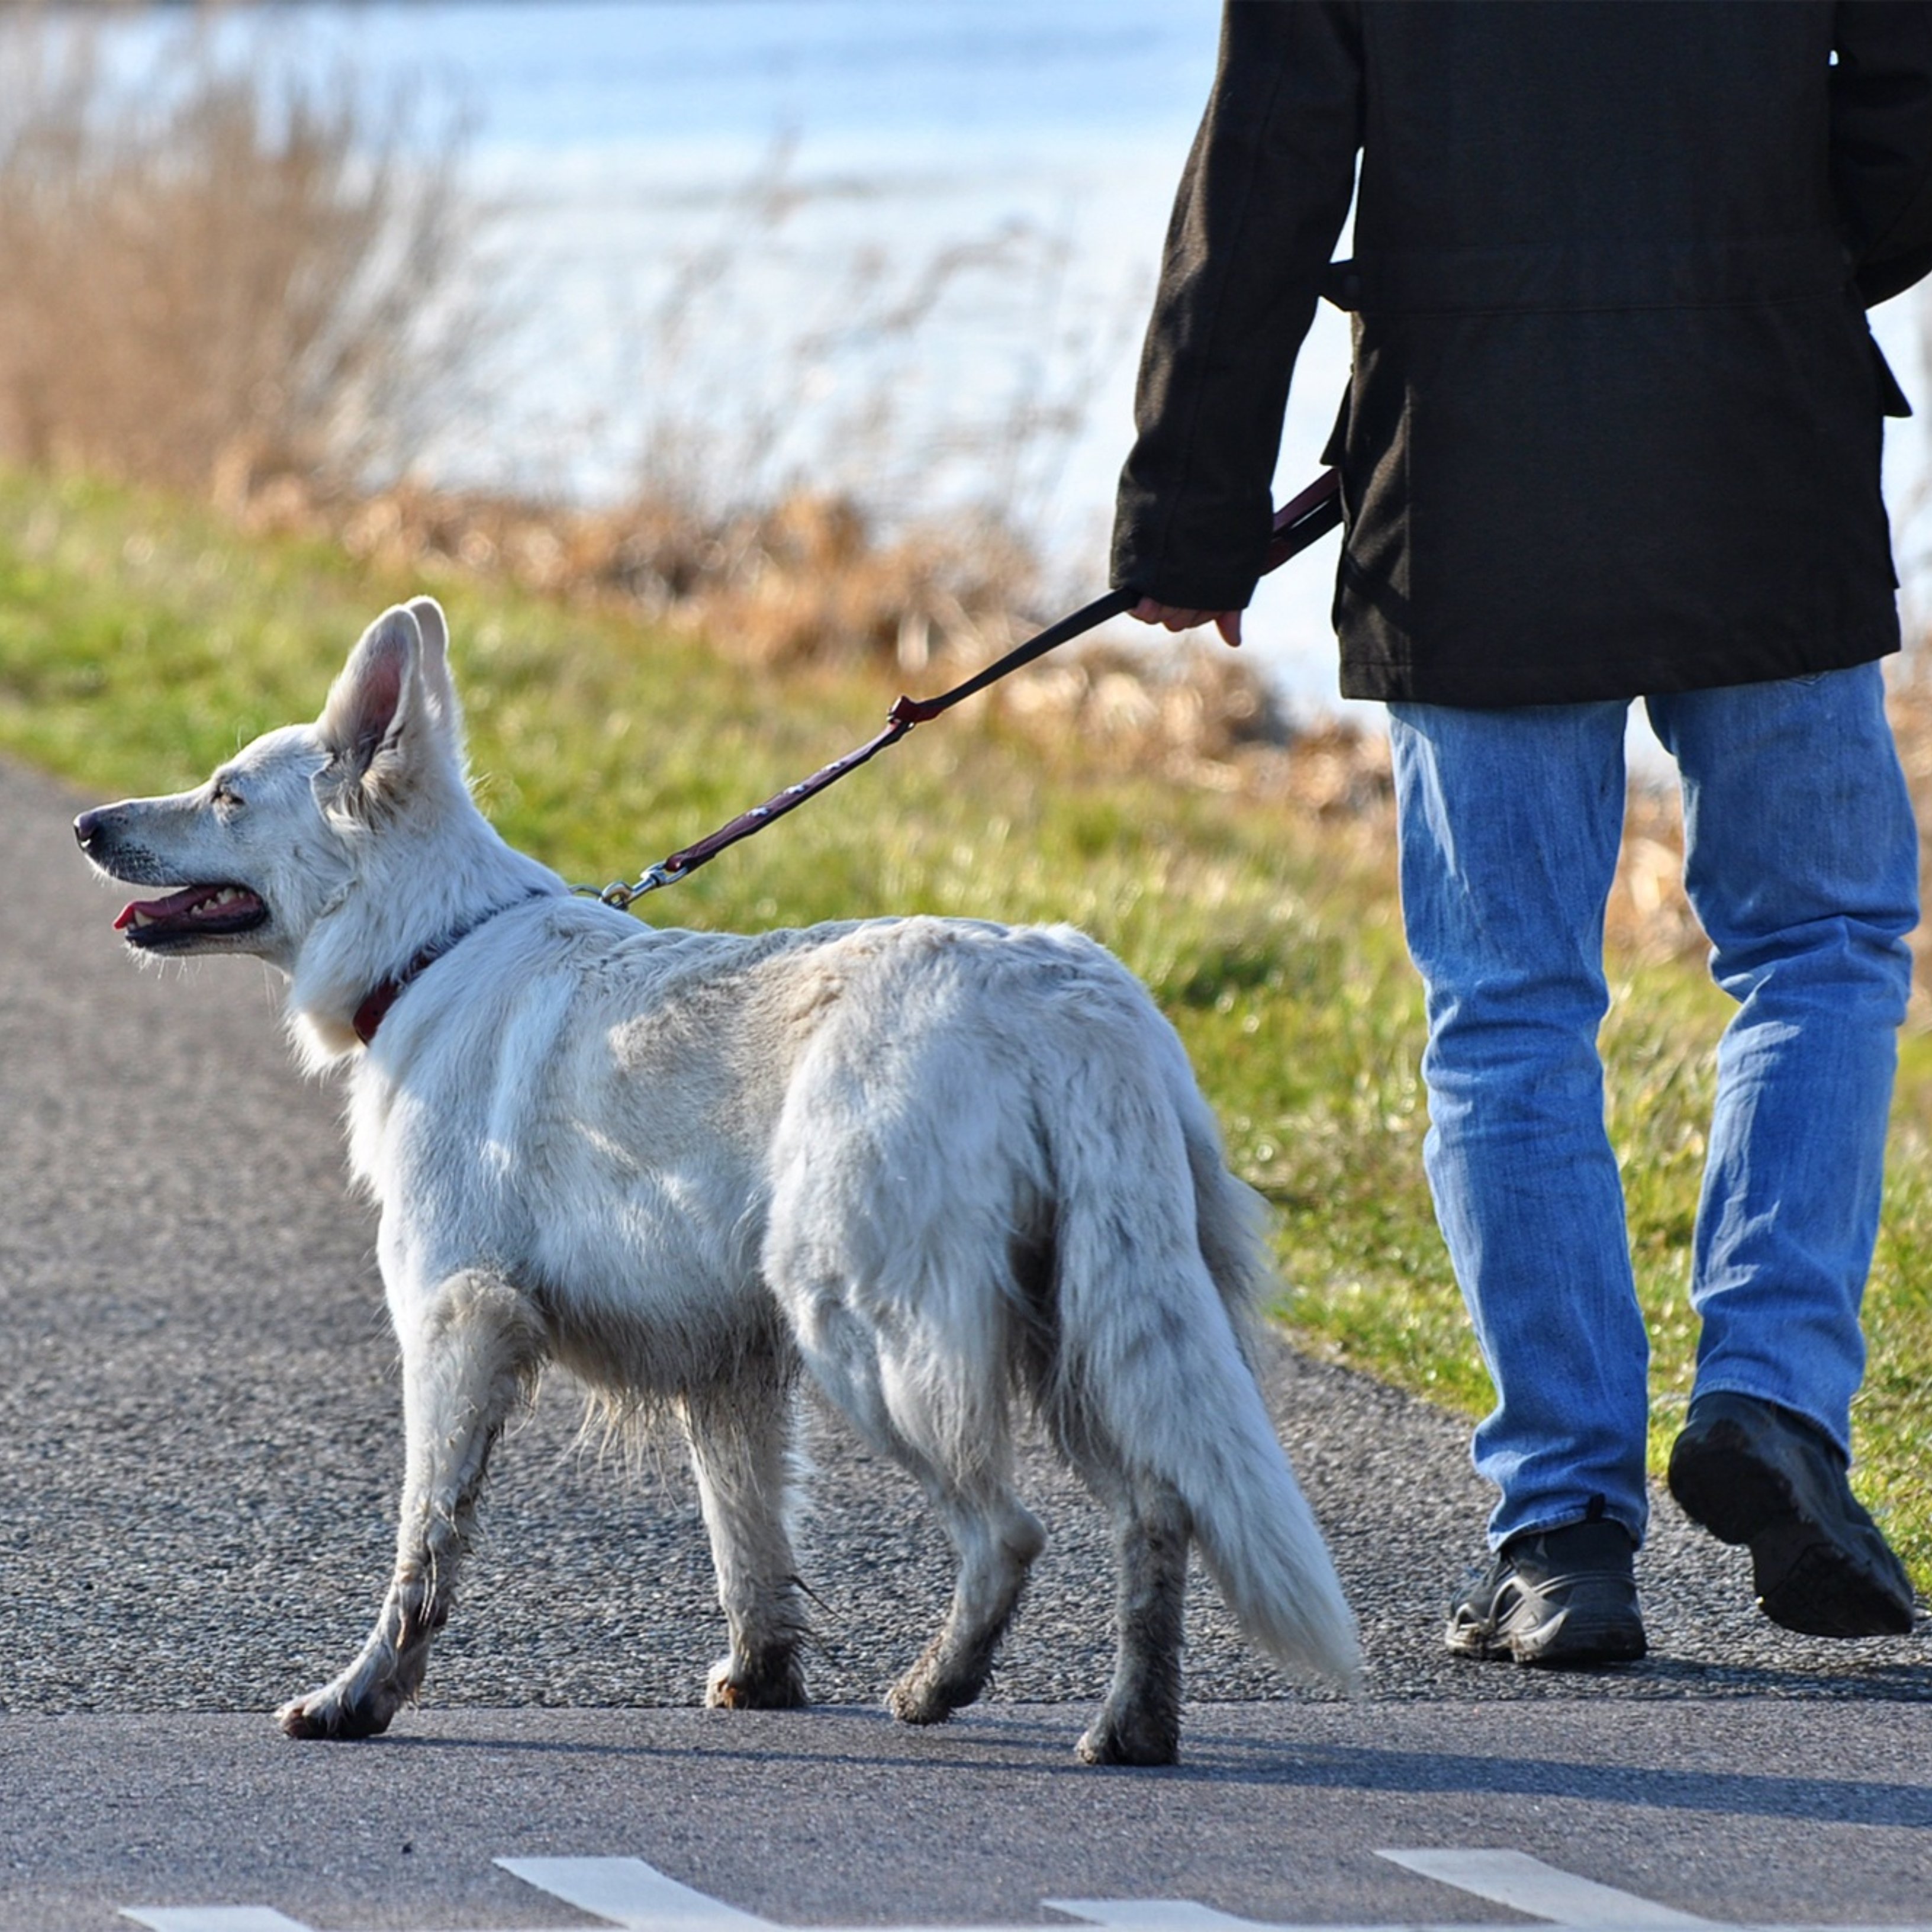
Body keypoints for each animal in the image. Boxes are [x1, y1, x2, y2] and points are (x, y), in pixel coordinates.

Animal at [79, 595, 1360, 1762]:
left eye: (225, 794)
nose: (89, 823)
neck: (430, 945)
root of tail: (1069, 998)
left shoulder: (456, 1324)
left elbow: (424, 1545)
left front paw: (361, 1698)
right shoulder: (727, 1370)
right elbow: (750, 1543)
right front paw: (764, 1677)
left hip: (870, 1334)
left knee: (1009, 1531)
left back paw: (939, 1685)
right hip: (1084, 1331)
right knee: (1157, 1511)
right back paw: (1130, 1725)